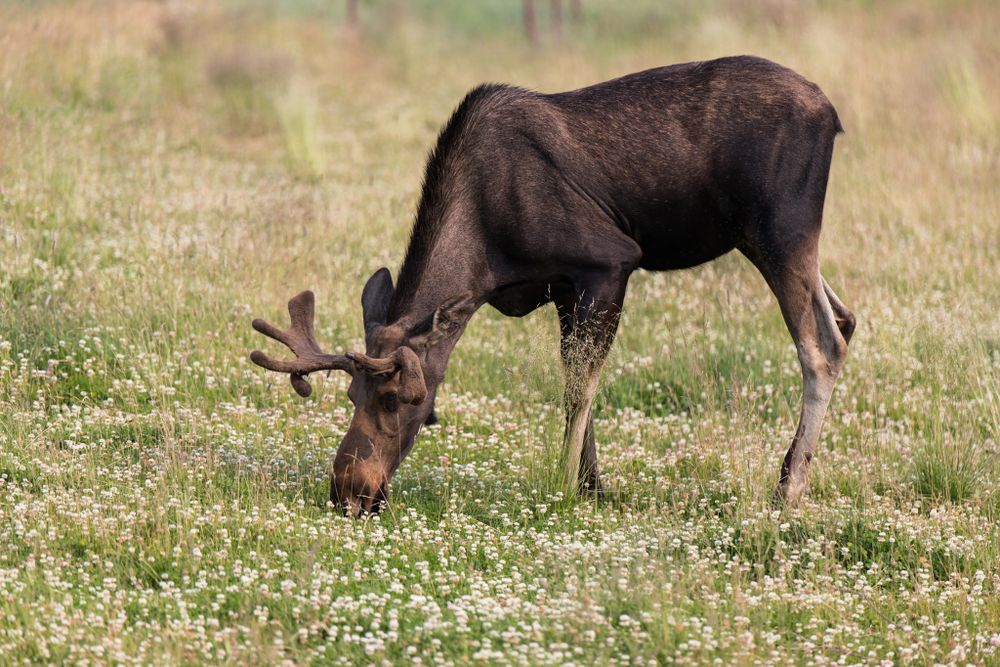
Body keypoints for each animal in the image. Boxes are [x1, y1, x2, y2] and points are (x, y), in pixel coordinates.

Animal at [249, 56, 856, 517]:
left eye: (398, 397)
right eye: (352, 394)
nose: (348, 492)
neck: (485, 254)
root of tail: (832, 114)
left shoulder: (610, 262)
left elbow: (580, 386)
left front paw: (566, 486)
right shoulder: (564, 287)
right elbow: (576, 378)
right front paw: (593, 485)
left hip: (781, 229)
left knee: (822, 346)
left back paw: (789, 487)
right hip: (766, 238)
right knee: (846, 318)